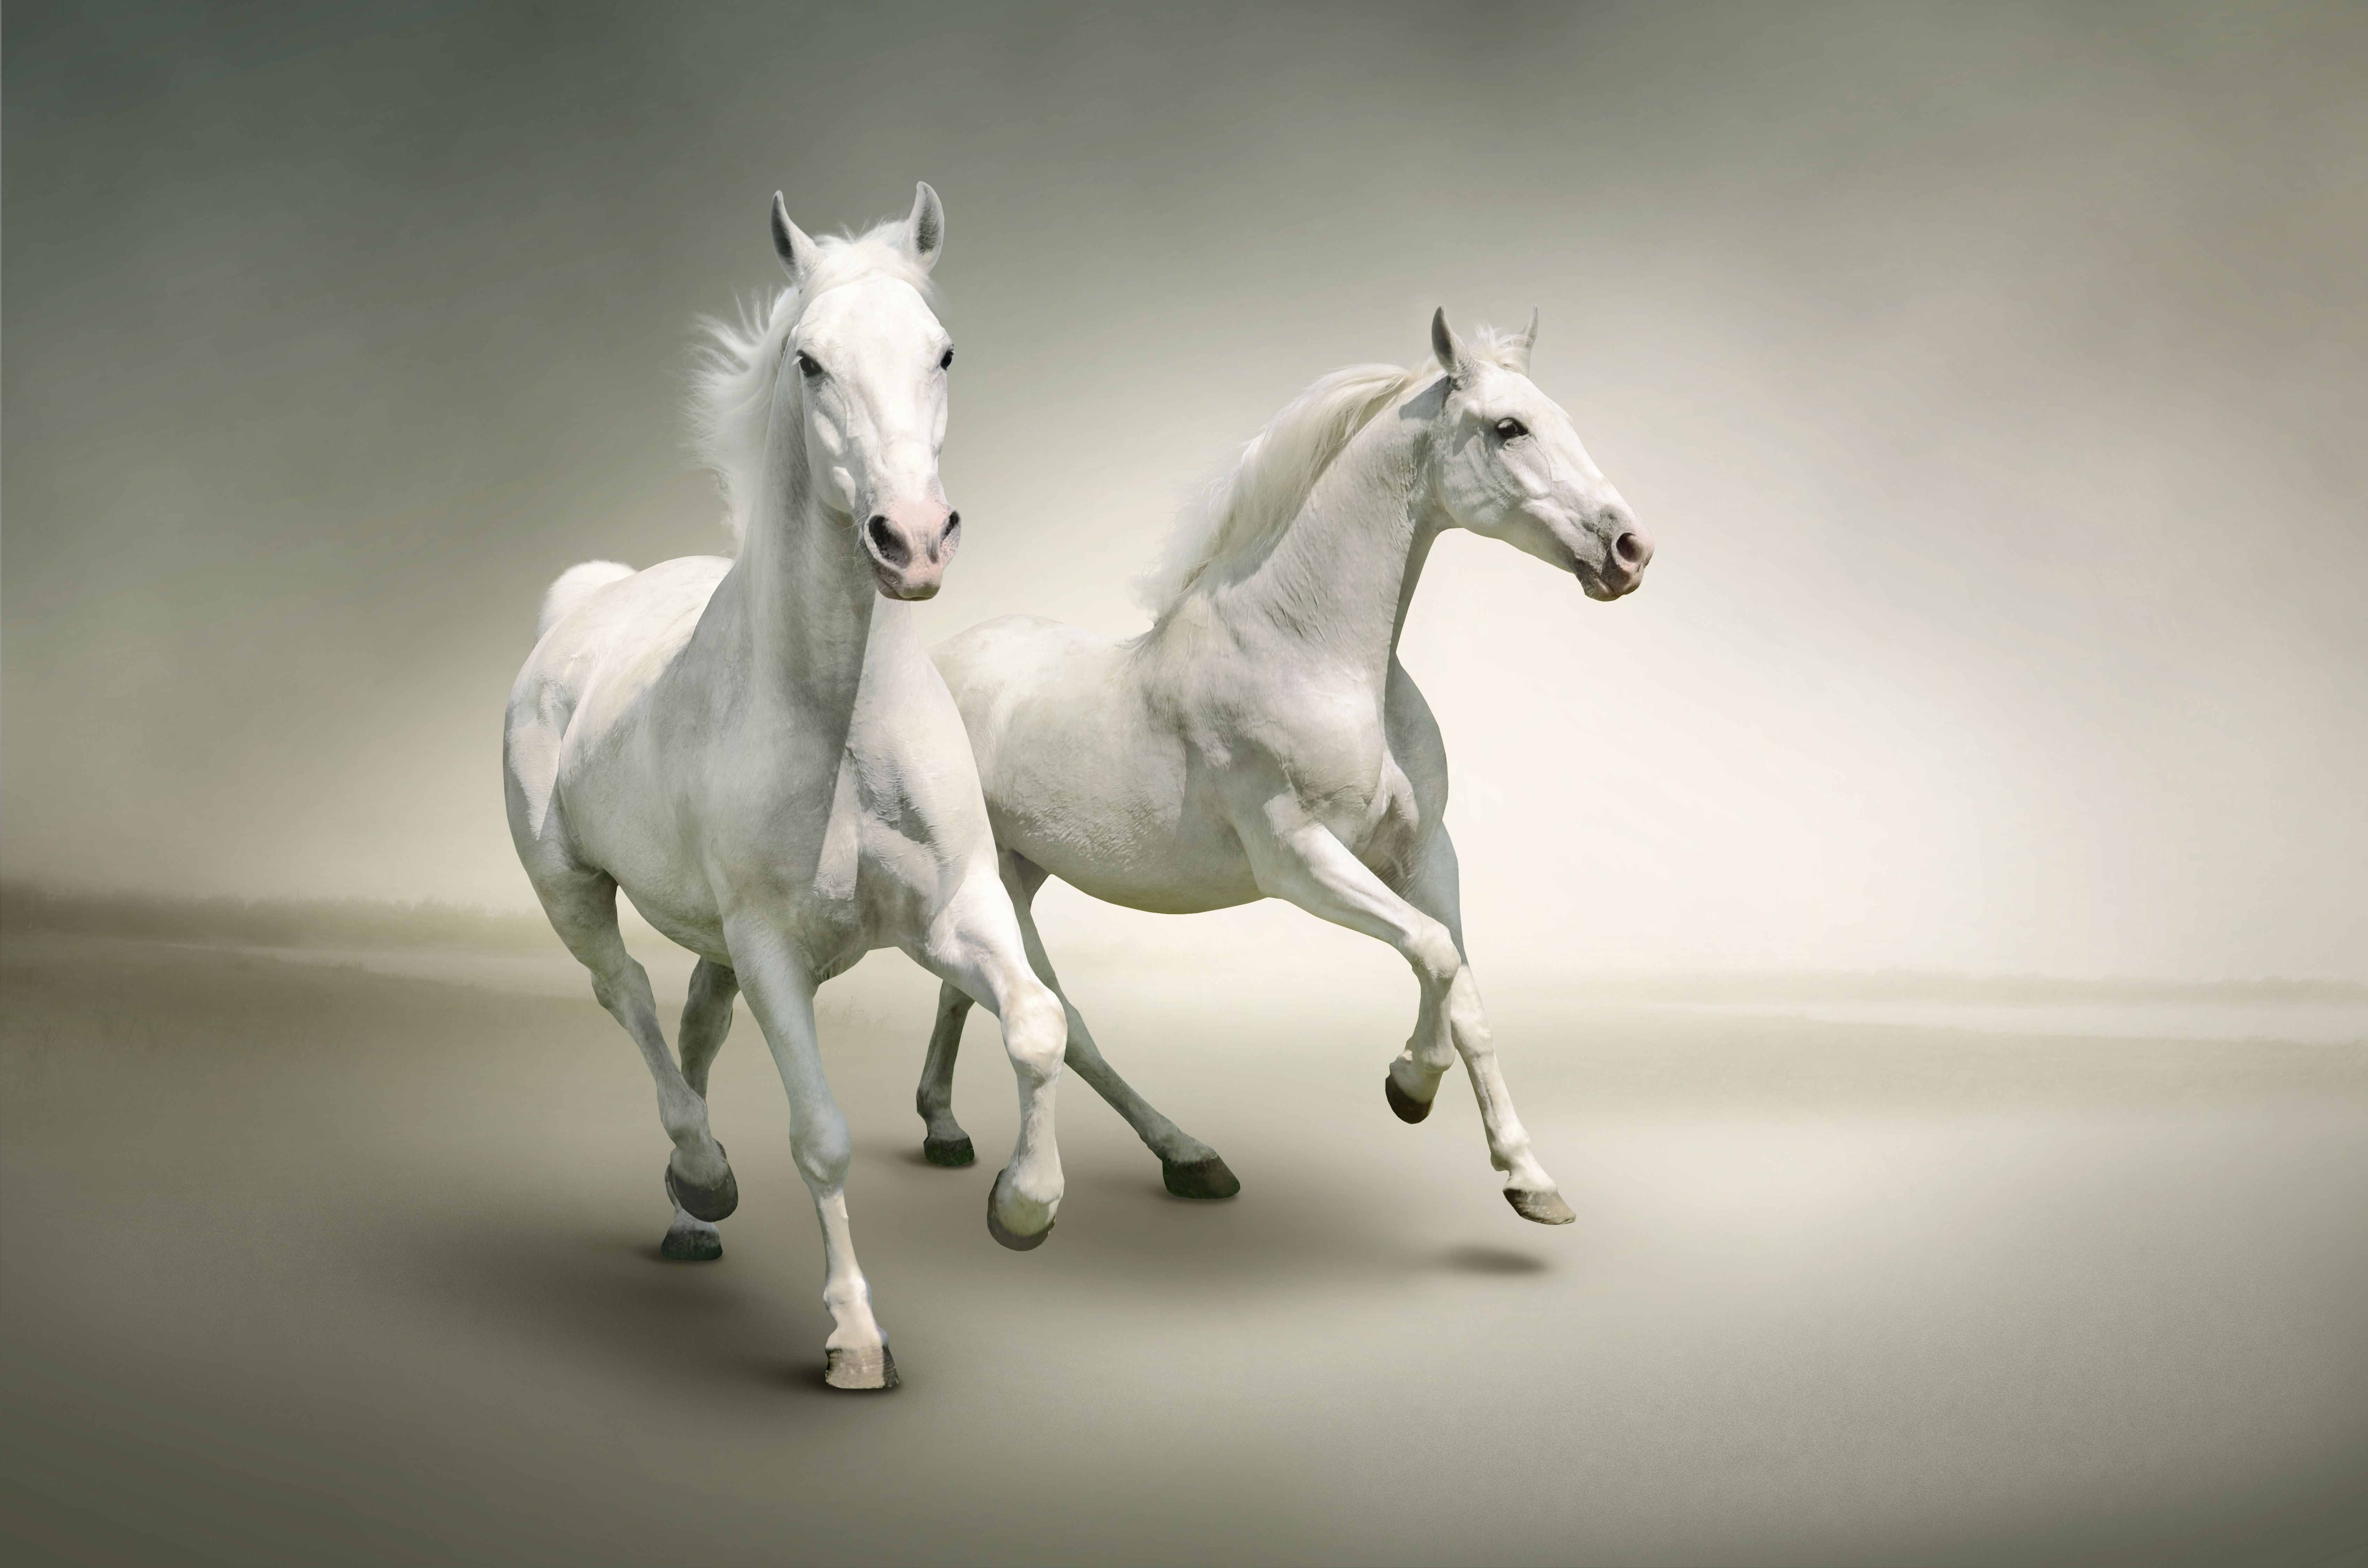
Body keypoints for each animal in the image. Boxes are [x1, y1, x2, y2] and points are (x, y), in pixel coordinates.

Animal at [504, 184, 1068, 1392]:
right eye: (809, 362)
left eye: (942, 351)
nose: (912, 540)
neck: (839, 720)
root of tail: (586, 603)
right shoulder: (772, 948)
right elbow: (821, 1136)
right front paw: (855, 1341)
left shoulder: (953, 910)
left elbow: (1038, 1023)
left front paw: (1022, 1206)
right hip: (571, 891)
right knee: (626, 996)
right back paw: (702, 1175)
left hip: (711, 940)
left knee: (693, 1024)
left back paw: (689, 1216)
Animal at [913, 308, 1651, 1224]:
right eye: (1508, 427)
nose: (1629, 549)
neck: (1312, 653)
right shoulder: (1299, 860)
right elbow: (1435, 955)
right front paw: (1408, 1085)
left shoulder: (1424, 854)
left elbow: (1467, 993)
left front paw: (1528, 1179)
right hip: (1001, 883)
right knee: (1059, 1018)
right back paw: (1175, 1158)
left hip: (1019, 869)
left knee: (966, 990)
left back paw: (948, 1129)